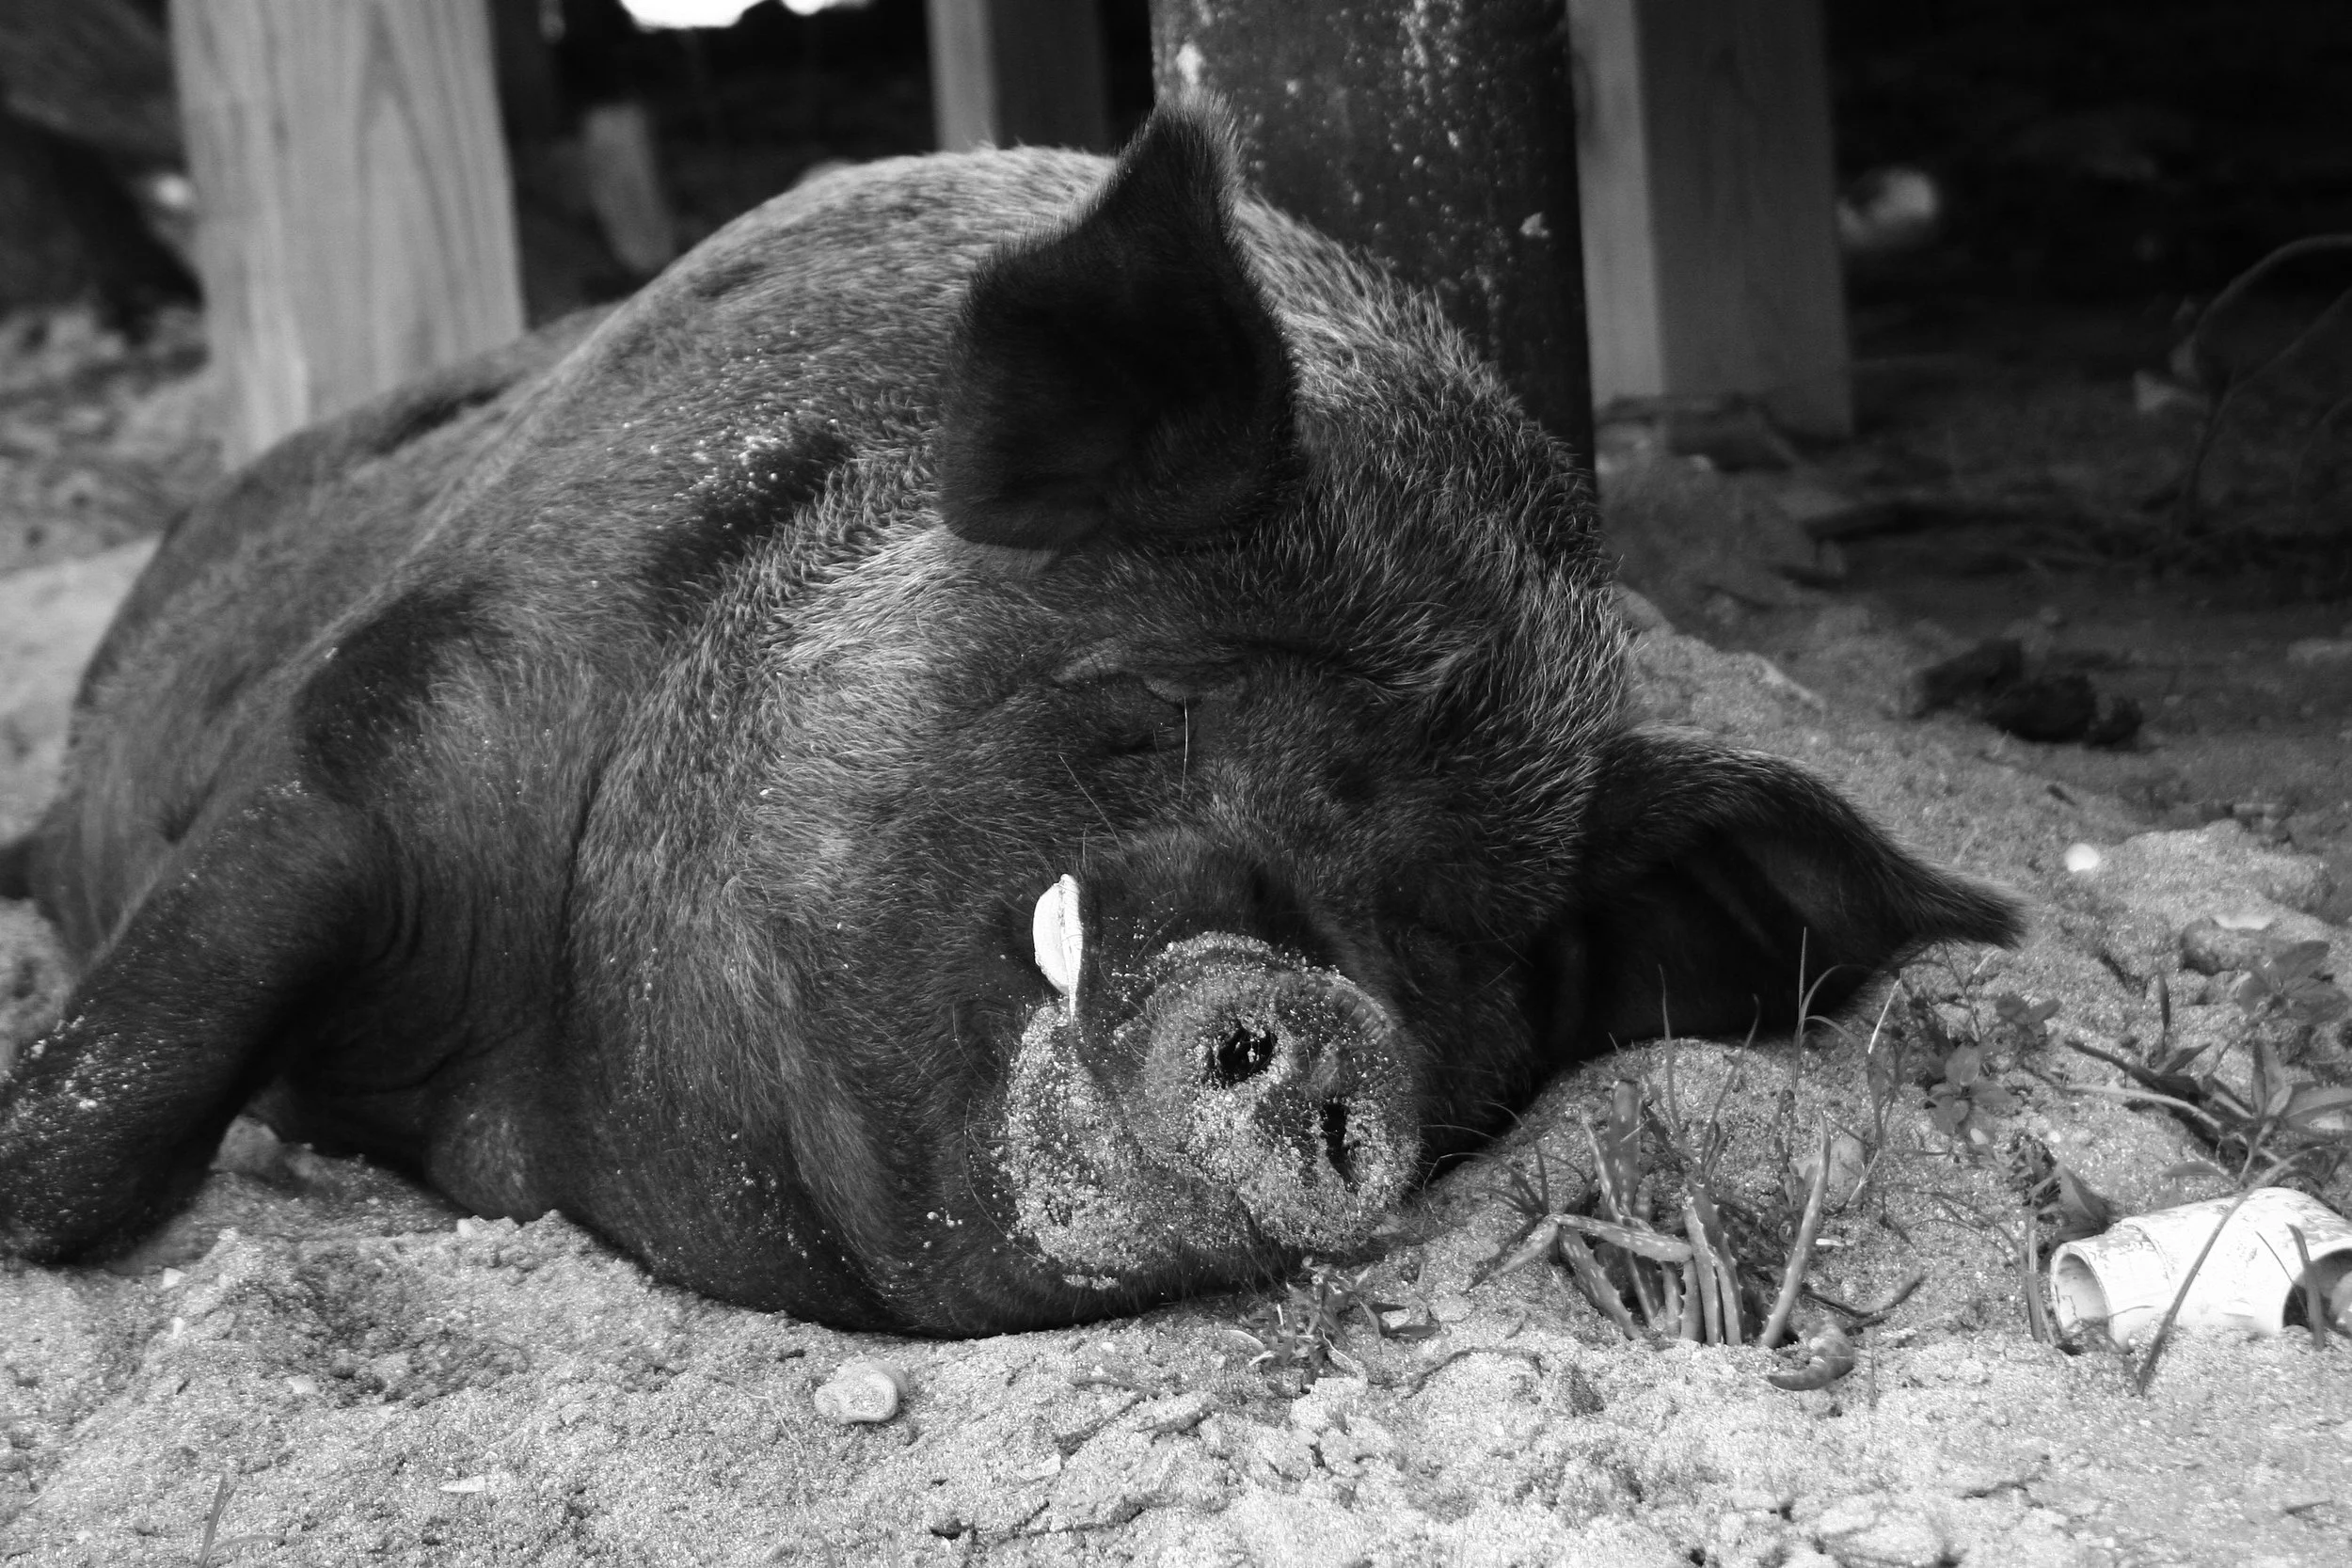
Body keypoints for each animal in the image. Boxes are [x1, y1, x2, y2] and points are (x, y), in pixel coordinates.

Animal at [0, 107, 2018, 1334]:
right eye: (1152, 717)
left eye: (1466, 947)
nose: (1319, 1007)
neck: (540, 1112)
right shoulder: (390, 725)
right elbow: (107, 1106)